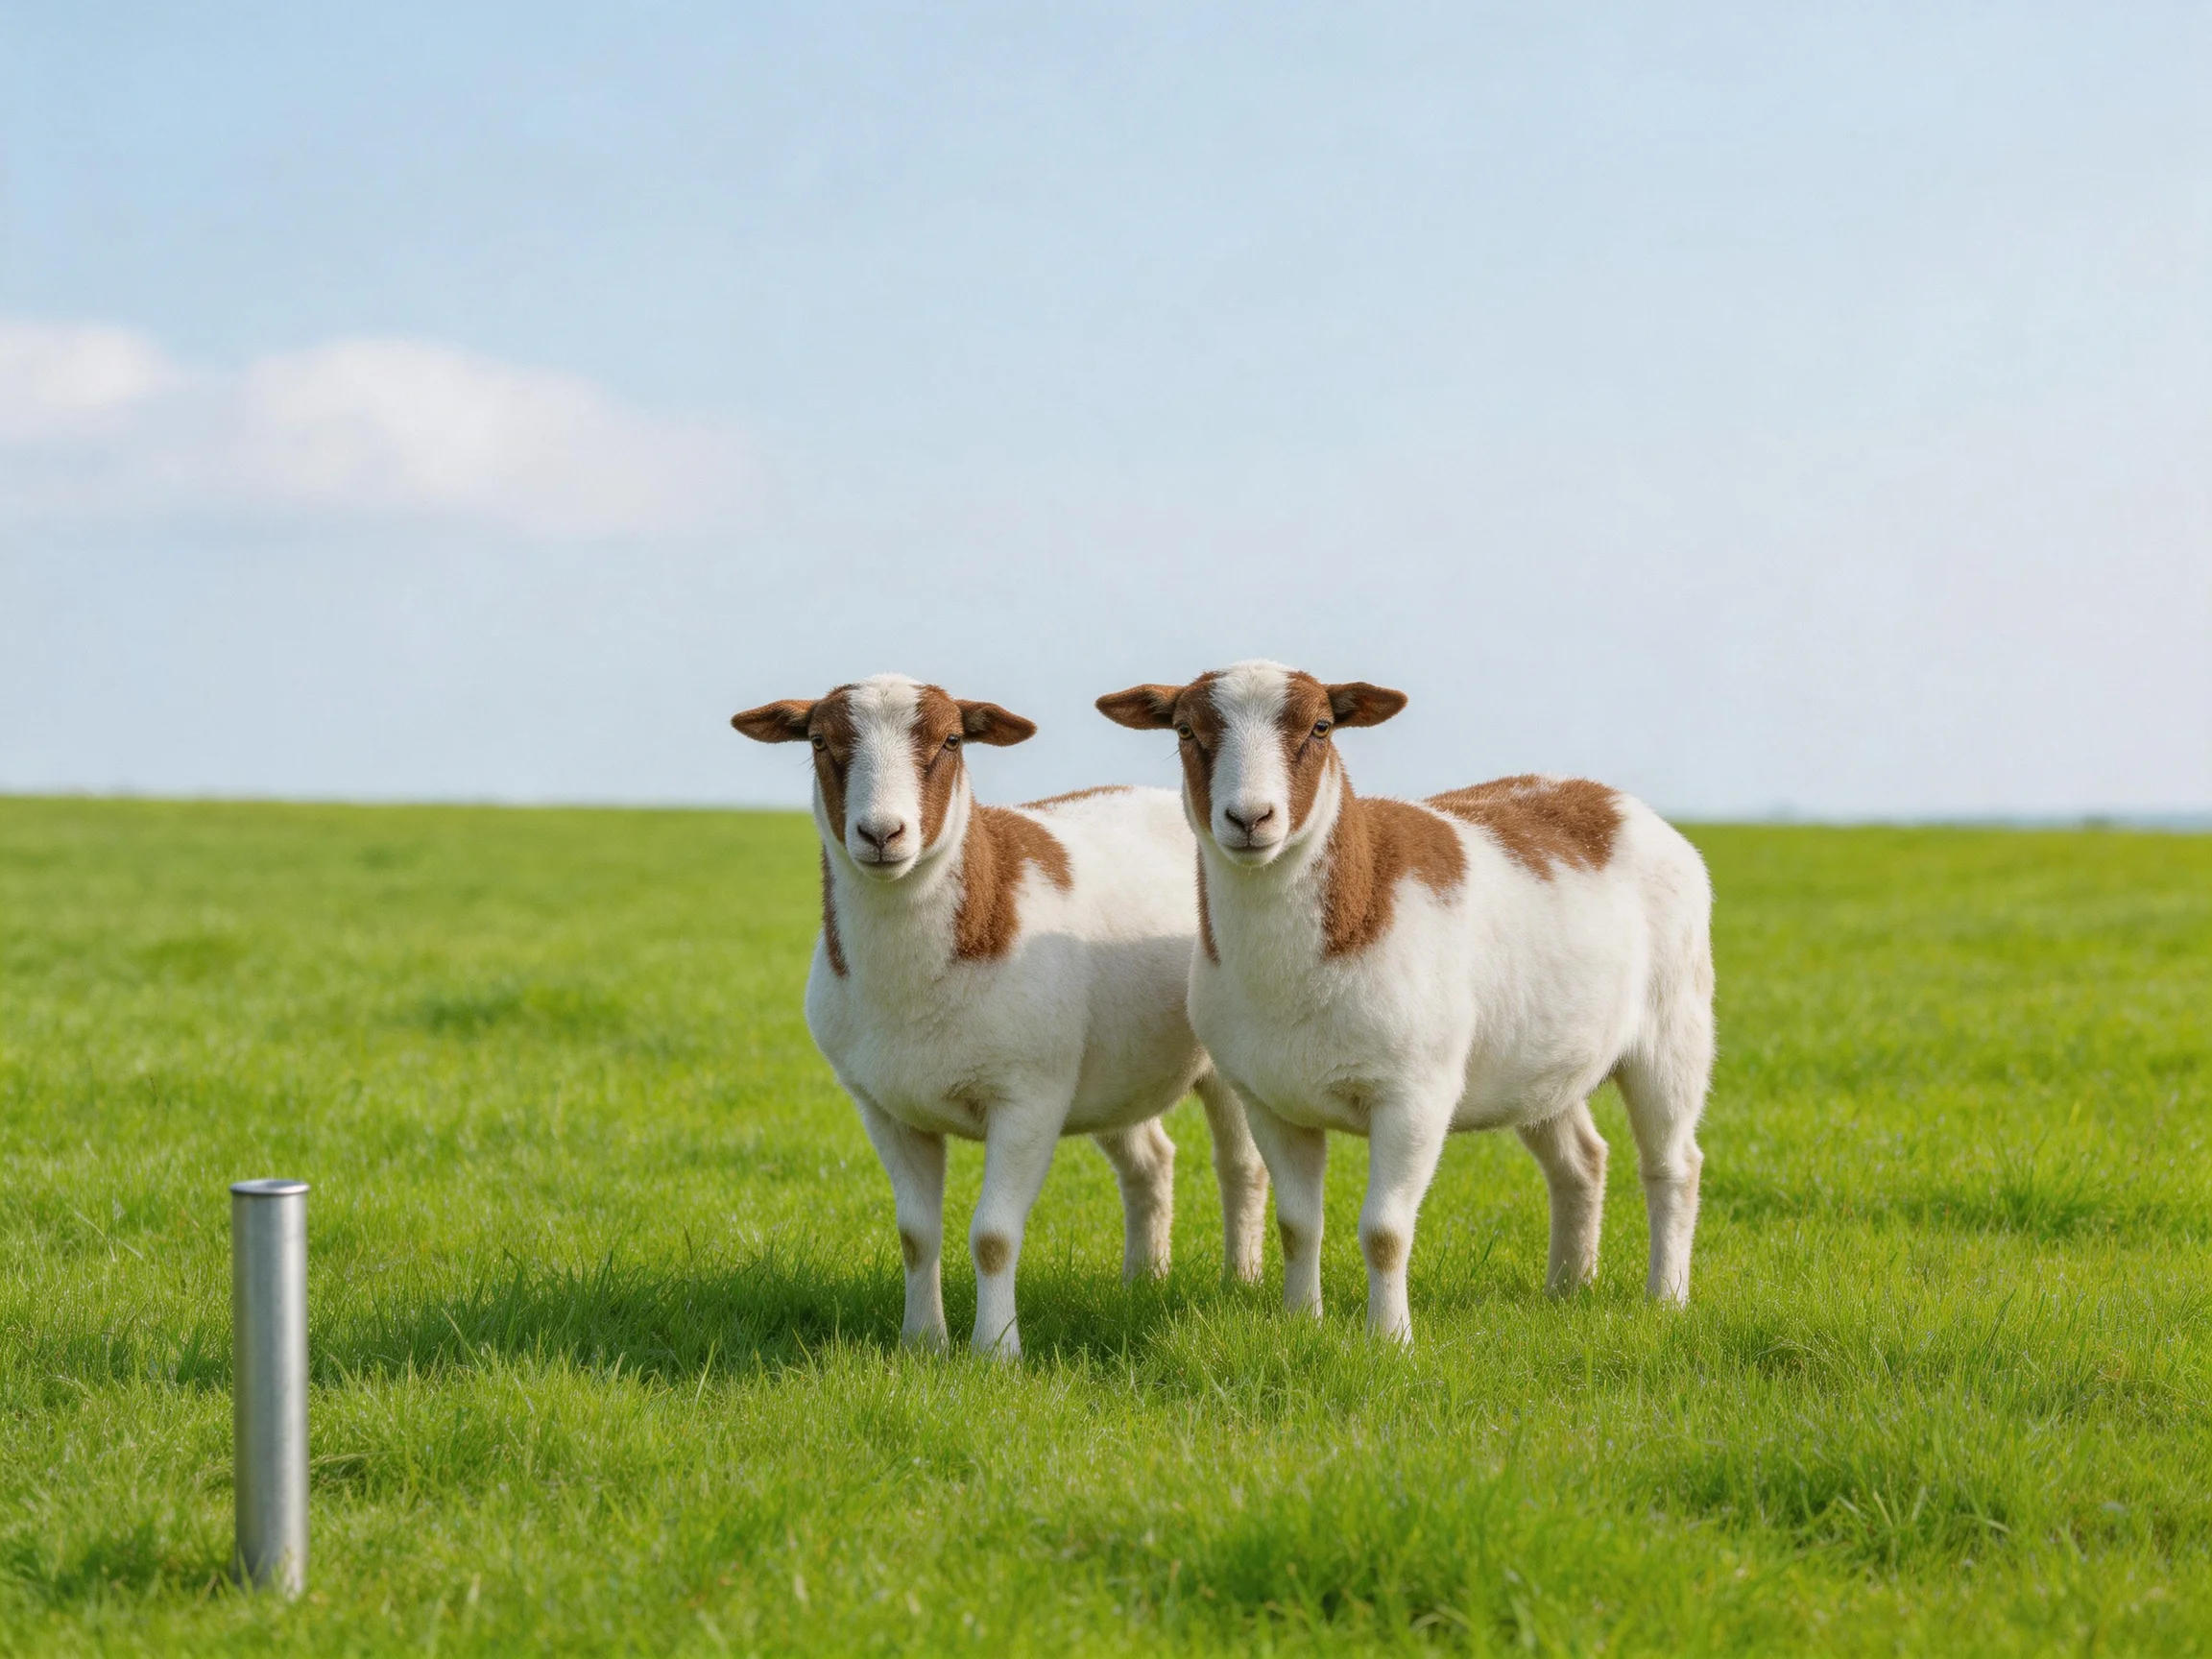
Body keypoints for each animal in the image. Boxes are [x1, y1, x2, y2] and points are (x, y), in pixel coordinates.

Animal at [733, 674, 1269, 1356]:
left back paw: (1241, 1282)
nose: (882, 835)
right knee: (1150, 1160)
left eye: (952, 741)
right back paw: (1142, 1281)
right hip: (1111, 1069)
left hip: (1222, 1061)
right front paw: (922, 1344)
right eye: (820, 741)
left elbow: (992, 1236)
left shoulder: (1028, 1099)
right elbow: (916, 1236)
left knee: (1242, 1167)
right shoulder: (883, 1107)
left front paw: (994, 1352)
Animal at [1098, 661, 1713, 1342]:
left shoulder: (1414, 1095)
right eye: (1184, 730)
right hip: (1541, 1061)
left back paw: (1667, 1299)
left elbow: (1385, 1233)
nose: (1250, 818)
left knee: (1673, 1167)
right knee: (1582, 1161)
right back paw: (1567, 1288)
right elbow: (1297, 1227)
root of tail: (1616, 800)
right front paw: (1301, 1322)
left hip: (1675, 1026)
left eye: (1321, 727)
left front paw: (1389, 1340)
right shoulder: (1270, 1102)